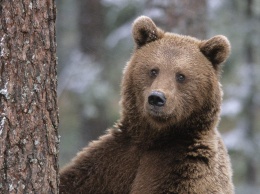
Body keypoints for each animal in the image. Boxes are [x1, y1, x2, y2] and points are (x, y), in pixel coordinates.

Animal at [60, 16, 235, 194]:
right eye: (153, 70)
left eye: (181, 75)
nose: (156, 98)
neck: (154, 137)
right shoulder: (113, 160)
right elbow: (75, 179)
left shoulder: (184, 167)